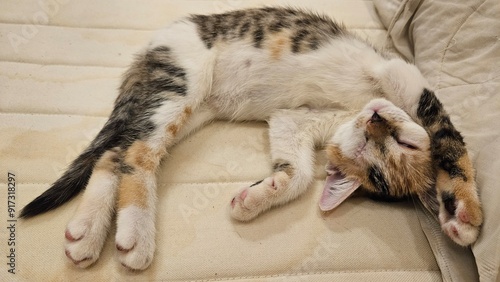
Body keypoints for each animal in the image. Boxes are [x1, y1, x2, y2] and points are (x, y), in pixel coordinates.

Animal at [19, 7, 480, 270]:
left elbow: (298, 168)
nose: (375, 120)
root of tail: (149, 50)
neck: (356, 107)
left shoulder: (295, 119)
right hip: (181, 80)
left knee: (115, 152)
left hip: (188, 108)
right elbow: (448, 138)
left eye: (382, 154)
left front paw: (261, 194)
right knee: (137, 151)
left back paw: (86, 232)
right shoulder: (400, 74)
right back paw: (136, 233)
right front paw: (465, 214)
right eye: (403, 143)